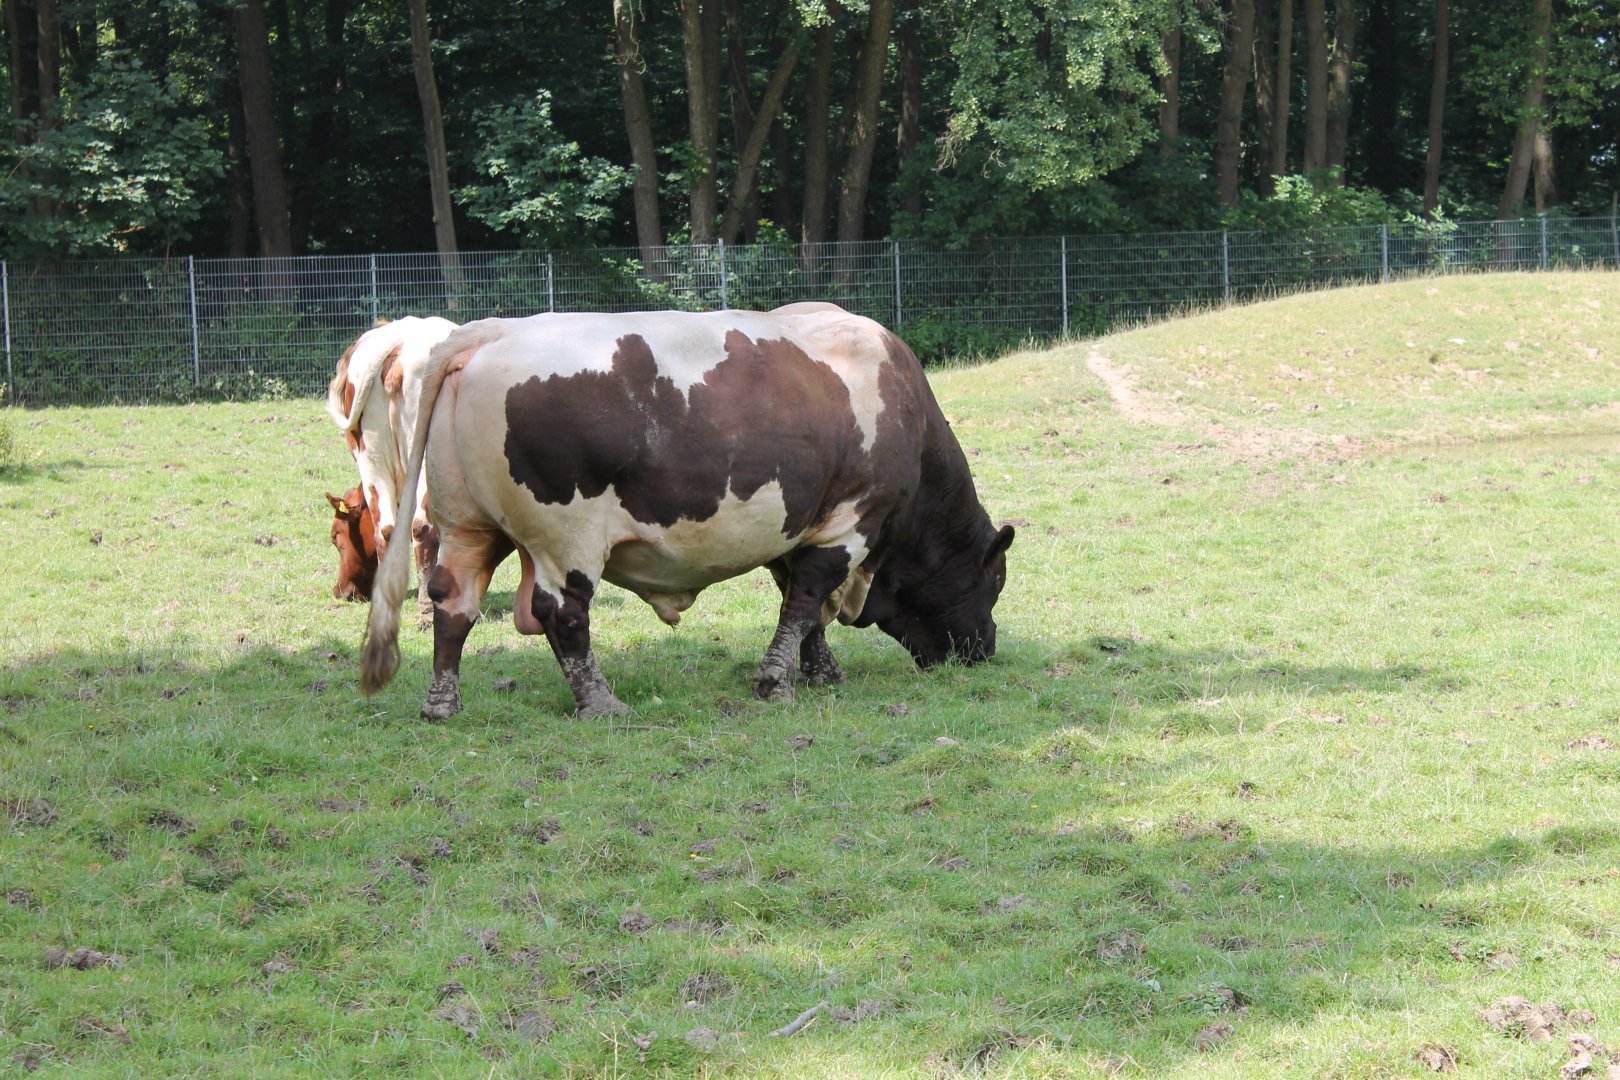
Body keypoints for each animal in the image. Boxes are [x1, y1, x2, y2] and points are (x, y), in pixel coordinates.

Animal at [359, 302, 1014, 720]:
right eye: (994, 581)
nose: (984, 649)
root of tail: (487, 334)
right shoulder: (853, 519)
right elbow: (806, 600)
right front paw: (777, 682)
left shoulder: (795, 524)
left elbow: (802, 606)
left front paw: (819, 670)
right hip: (565, 538)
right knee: (561, 614)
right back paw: (601, 703)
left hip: (467, 526)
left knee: (454, 603)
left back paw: (442, 703)